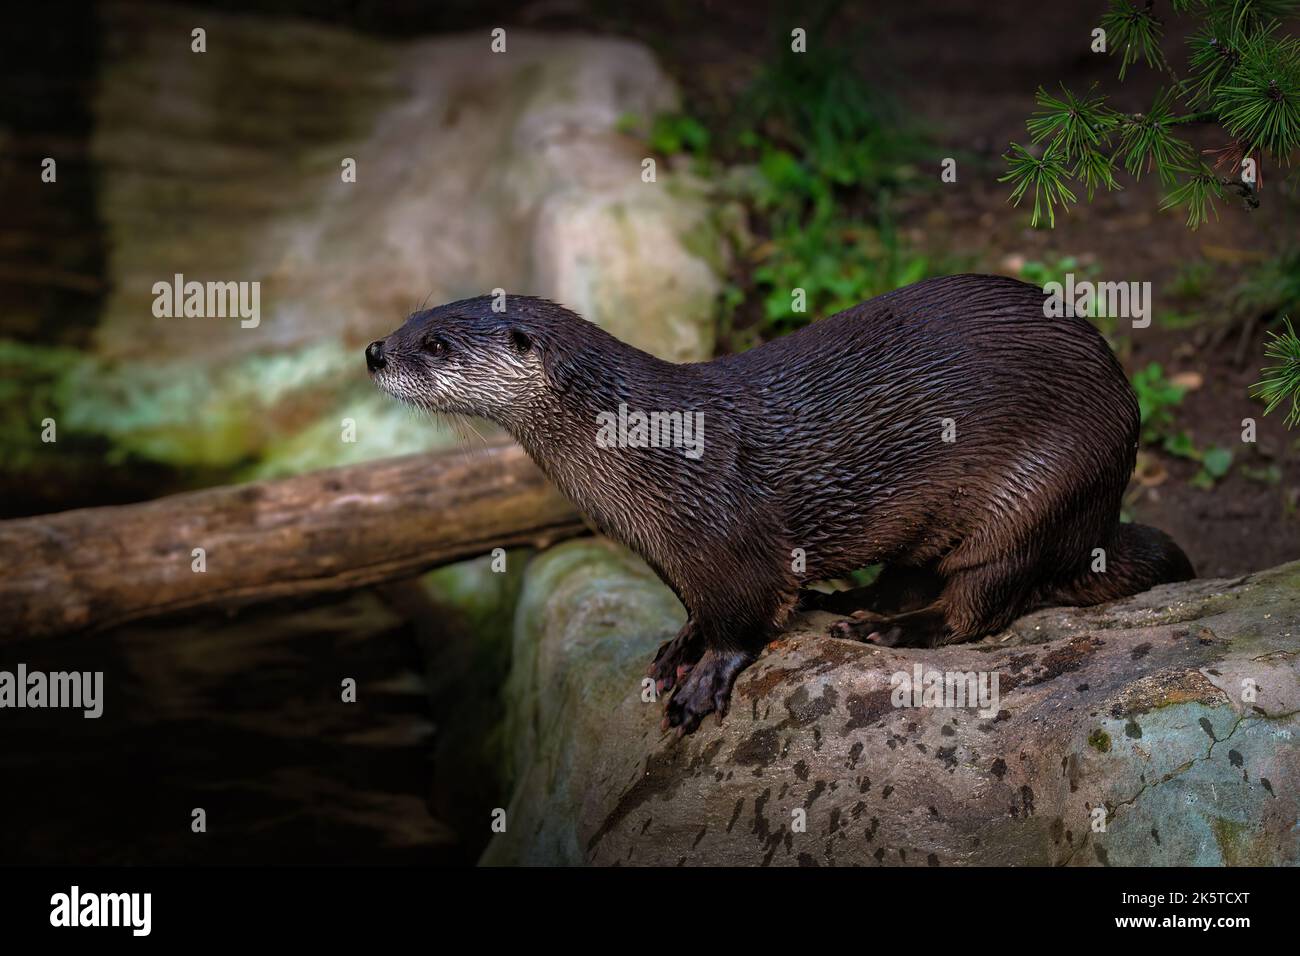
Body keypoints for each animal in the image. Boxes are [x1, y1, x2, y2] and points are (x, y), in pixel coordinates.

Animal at [366, 275, 1194, 734]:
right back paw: (854, 600)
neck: (647, 451)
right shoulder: (674, 557)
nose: (375, 351)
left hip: (1042, 488)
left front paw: (705, 679)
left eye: (436, 343)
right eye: (408, 321)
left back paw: (891, 630)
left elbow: (744, 616)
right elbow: (698, 609)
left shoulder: (730, 541)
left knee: (981, 603)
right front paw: (679, 646)